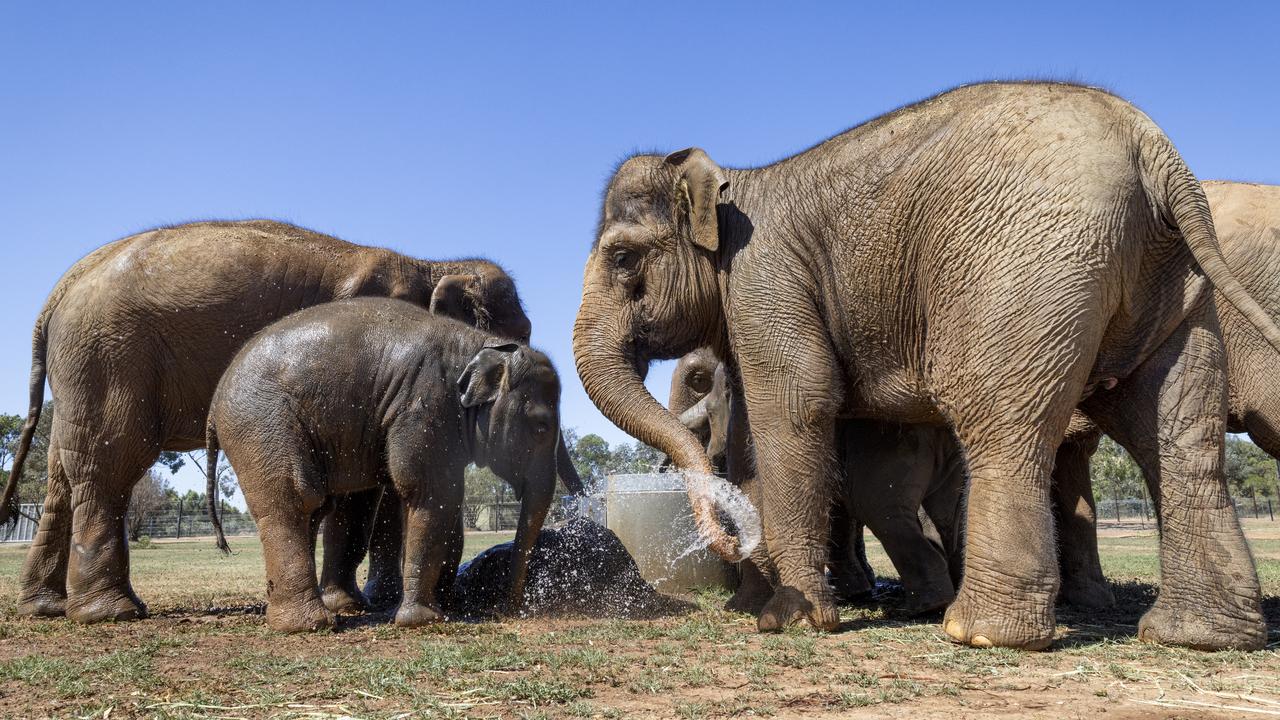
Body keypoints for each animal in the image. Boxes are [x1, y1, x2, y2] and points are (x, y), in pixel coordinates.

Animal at [207, 295, 563, 627]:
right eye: (541, 426)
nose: (513, 608)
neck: (478, 342)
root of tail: (214, 404)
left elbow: (446, 497)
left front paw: (445, 605)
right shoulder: (423, 404)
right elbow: (430, 492)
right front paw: (423, 619)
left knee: (314, 506)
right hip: (261, 423)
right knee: (294, 499)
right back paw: (311, 624)